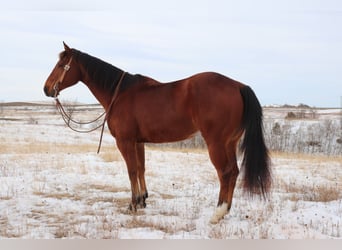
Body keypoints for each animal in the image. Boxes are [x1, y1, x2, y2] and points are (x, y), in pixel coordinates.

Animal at [44, 42, 272, 224]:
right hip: (230, 143)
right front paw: (142, 200)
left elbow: (131, 171)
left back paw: (217, 213)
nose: (46, 89)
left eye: (61, 65)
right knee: (233, 172)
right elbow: (141, 169)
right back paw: (226, 211)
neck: (120, 94)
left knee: (225, 173)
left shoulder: (125, 142)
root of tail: (238, 86)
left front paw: (133, 204)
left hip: (216, 143)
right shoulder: (138, 142)